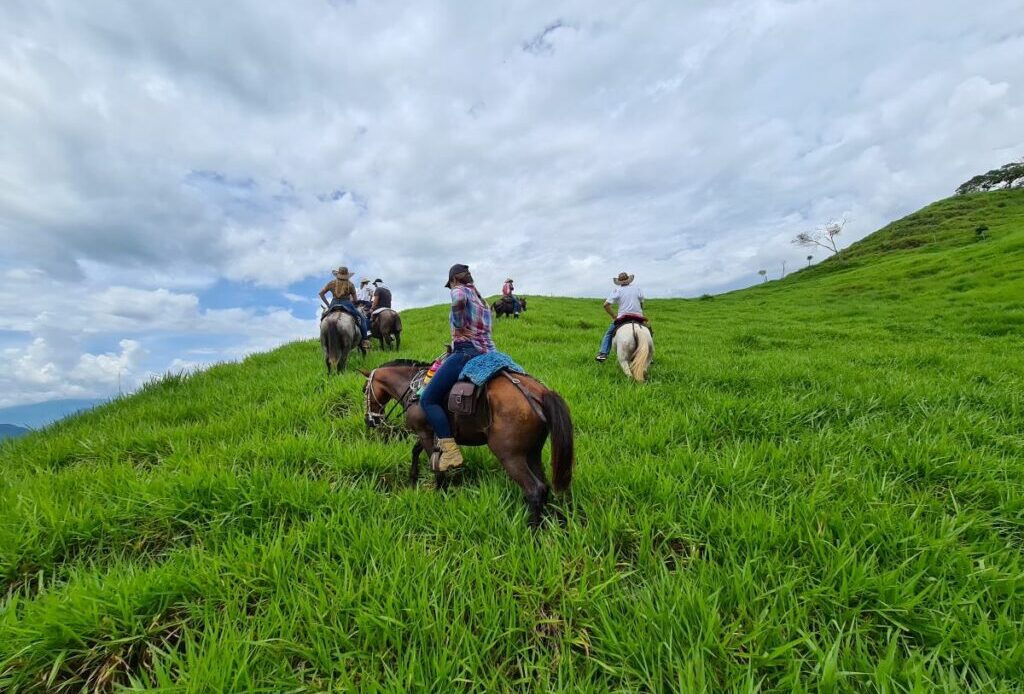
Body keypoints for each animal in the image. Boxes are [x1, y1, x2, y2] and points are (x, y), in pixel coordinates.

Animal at [360, 364, 573, 528]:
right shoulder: (431, 433)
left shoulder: (425, 432)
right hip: (532, 452)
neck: (414, 389)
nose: (370, 421)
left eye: (364, 390)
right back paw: (544, 524)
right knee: (544, 486)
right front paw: (413, 480)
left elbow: (435, 466)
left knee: (534, 489)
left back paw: (532, 531)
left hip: (510, 456)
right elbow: (415, 451)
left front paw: (440, 493)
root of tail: (539, 393)